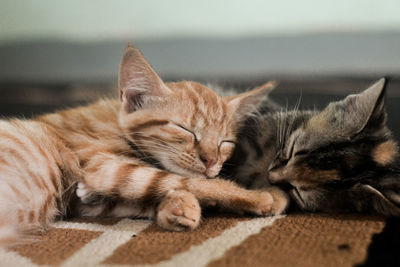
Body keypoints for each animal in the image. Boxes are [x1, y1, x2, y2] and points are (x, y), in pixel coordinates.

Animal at [0, 44, 288, 247]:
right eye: (185, 130)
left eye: (225, 142)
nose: (211, 161)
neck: (116, 121)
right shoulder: (104, 166)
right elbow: (184, 181)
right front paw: (260, 195)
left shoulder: (85, 201)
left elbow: (140, 196)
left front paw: (176, 206)